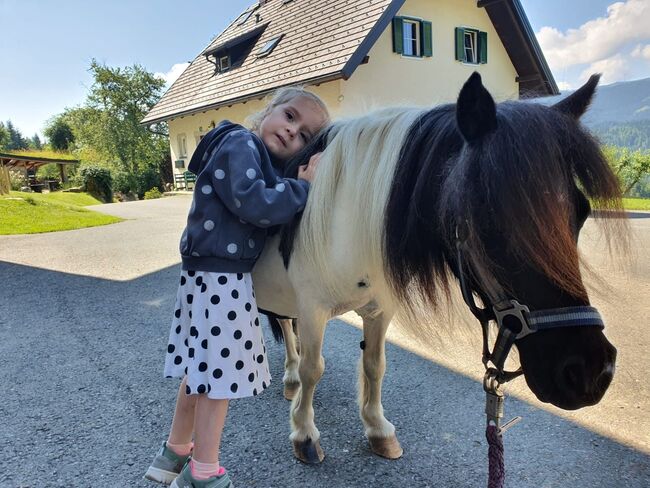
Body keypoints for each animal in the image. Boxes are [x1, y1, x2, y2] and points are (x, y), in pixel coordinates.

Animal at [251, 72, 627, 464]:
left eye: (582, 211)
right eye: (487, 215)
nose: (590, 372)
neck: (347, 216)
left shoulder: (379, 310)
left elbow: (375, 365)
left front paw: (378, 429)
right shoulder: (314, 309)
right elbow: (314, 369)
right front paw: (305, 434)